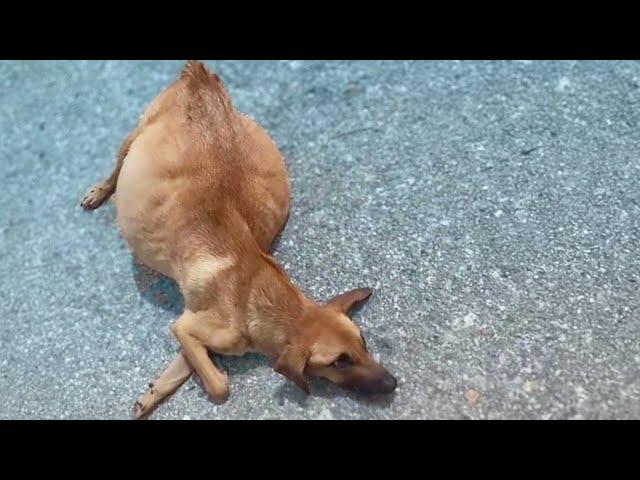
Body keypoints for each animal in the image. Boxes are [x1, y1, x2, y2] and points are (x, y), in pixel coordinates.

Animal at [82, 62, 398, 418]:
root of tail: (201, 78)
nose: (392, 384)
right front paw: (211, 376)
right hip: (136, 134)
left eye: (363, 343)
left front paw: (154, 392)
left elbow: (185, 361)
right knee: (116, 168)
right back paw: (99, 191)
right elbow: (220, 386)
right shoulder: (188, 327)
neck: (254, 296)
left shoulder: (188, 324)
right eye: (339, 362)